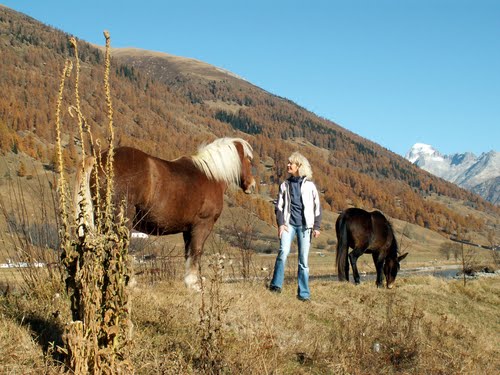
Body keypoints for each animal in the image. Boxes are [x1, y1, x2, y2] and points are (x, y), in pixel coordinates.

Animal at [76, 138, 256, 290]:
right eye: (248, 159)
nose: (252, 185)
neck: (211, 175)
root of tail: (99, 159)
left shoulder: (187, 230)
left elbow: (188, 253)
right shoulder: (202, 224)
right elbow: (196, 251)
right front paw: (194, 284)